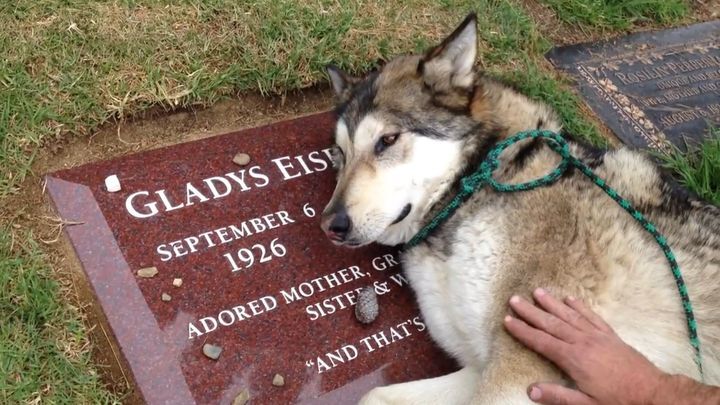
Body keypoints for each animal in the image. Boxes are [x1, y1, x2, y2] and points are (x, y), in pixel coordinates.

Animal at [320, 13, 720, 404]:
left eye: (387, 140)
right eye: (339, 153)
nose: (330, 225)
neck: (474, 188)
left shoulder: (517, 370)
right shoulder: (478, 369)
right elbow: (373, 394)